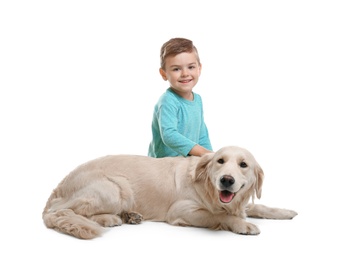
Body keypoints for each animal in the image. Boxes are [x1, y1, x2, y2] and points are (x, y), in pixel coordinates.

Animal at [42, 145, 296, 239]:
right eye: (220, 161)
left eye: (243, 165)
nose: (226, 180)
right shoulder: (182, 210)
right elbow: (220, 215)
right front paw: (242, 224)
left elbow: (257, 206)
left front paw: (285, 212)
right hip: (115, 187)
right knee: (64, 213)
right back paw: (110, 218)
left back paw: (129, 216)